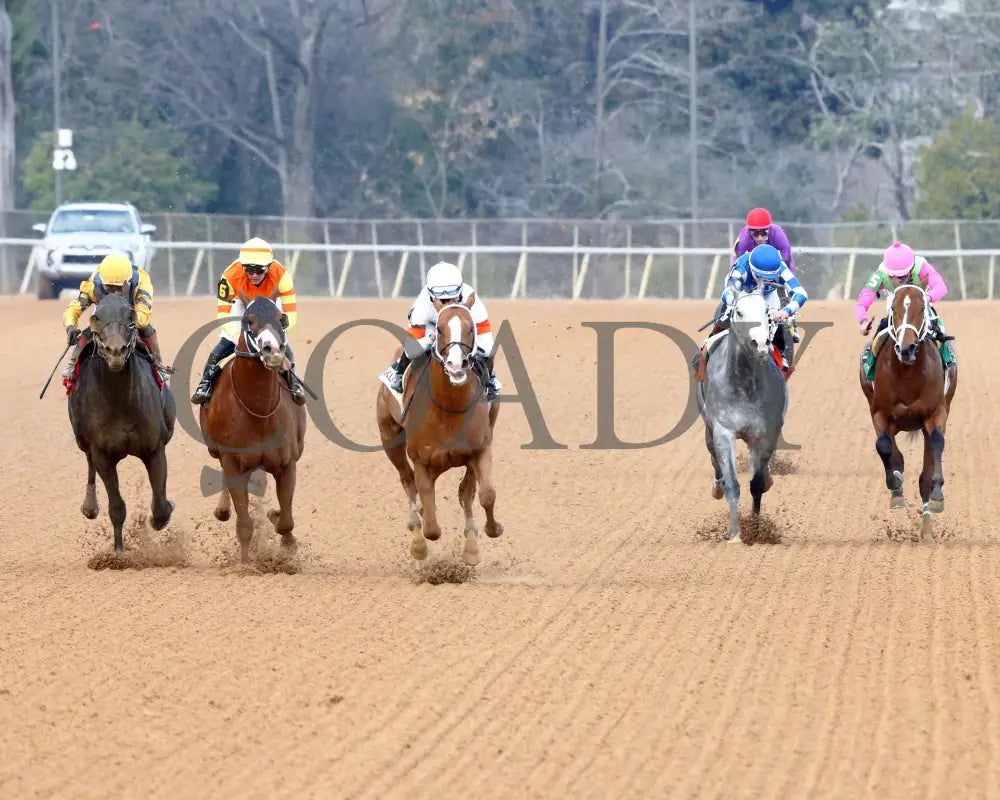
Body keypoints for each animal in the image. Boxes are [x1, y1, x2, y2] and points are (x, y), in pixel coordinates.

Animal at [67, 292, 176, 552]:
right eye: (97, 317)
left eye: (129, 317)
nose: (115, 351)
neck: (120, 400)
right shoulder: (102, 454)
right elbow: (116, 507)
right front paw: (118, 553)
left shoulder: (154, 449)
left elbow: (160, 507)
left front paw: (162, 514)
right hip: (83, 440)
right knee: (89, 464)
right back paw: (89, 505)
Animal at [196, 296, 302, 564]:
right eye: (250, 321)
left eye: (281, 319)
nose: (273, 351)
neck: (258, 409)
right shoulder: (233, 462)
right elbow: (244, 524)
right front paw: (245, 565)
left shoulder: (287, 464)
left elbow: (285, 521)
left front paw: (285, 541)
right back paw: (222, 509)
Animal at [376, 296, 500, 564]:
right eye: (440, 329)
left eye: (471, 328)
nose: (456, 365)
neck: (449, 408)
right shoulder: (422, 462)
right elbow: (432, 528)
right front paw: (420, 545)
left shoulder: (480, 450)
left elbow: (485, 494)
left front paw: (491, 530)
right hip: (390, 438)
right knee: (408, 481)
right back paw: (417, 535)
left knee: (466, 493)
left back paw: (471, 545)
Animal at [696, 290, 788, 540]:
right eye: (739, 311)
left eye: (766, 310)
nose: (760, 343)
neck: (745, 384)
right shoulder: (723, 432)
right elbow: (732, 484)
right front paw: (736, 535)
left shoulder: (765, 434)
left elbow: (756, 484)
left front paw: (756, 529)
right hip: (709, 430)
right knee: (714, 459)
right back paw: (717, 486)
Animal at [860, 282, 960, 536]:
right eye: (893, 309)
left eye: (922, 309)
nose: (906, 348)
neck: (907, 372)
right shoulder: (880, 413)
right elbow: (885, 447)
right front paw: (895, 486)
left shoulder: (935, 413)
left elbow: (937, 445)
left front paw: (936, 496)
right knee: (894, 452)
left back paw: (927, 529)